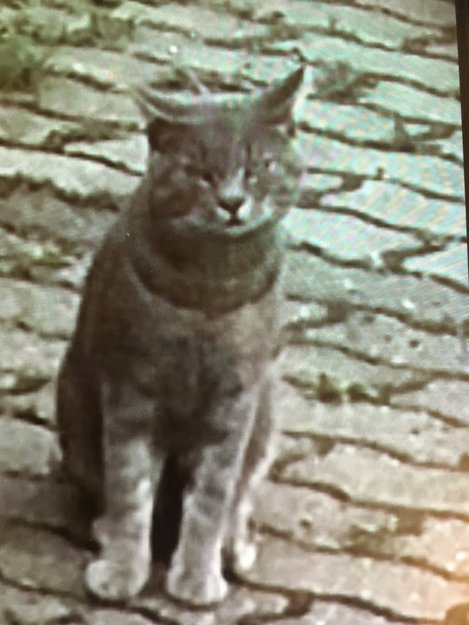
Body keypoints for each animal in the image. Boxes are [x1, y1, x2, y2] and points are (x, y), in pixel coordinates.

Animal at [56, 66, 305, 606]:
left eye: (258, 167)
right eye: (200, 172)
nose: (232, 202)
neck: (205, 299)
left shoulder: (237, 397)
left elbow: (213, 496)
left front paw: (196, 575)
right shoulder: (130, 385)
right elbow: (129, 489)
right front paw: (123, 569)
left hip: (268, 412)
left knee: (239, 496)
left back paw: (235, 549)